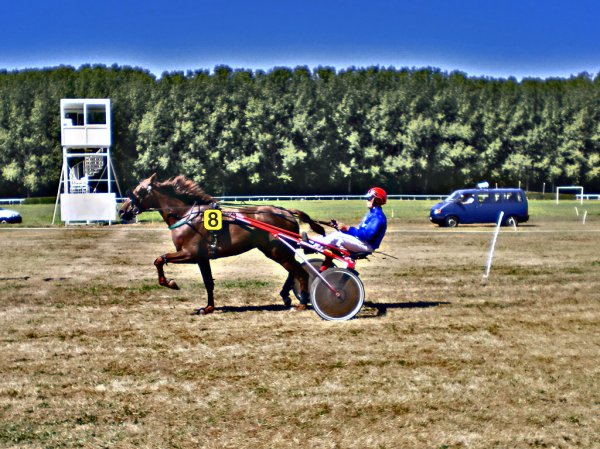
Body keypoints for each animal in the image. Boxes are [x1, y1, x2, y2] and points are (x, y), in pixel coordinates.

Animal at [116, 173, 324, 314]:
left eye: (139, 191)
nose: (122, 211)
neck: (187, 216)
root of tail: (286, 212)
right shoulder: (202, 258)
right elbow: (208, 282)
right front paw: (208, 307)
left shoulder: (189, 254)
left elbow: (159, 259)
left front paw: (170, 283)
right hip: (276, 251)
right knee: (294, 270)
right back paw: (287, 295)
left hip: (278, 251)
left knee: (300, 272)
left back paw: (302, 302)